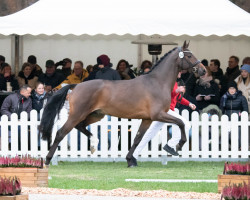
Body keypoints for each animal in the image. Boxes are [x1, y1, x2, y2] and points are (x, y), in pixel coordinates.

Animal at [39, 39, 206, 165]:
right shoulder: (158, 114)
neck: (157, 82)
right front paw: (178, 145)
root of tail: (76, 85)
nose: (203, 70)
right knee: (61, 133)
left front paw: (130, 160)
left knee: (80, 127)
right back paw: (47, 160)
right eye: (189, 56)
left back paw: (93, 144)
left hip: (95, 115)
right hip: (78, 114)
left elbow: (138, 138)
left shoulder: (147, 119)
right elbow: (181, 123)